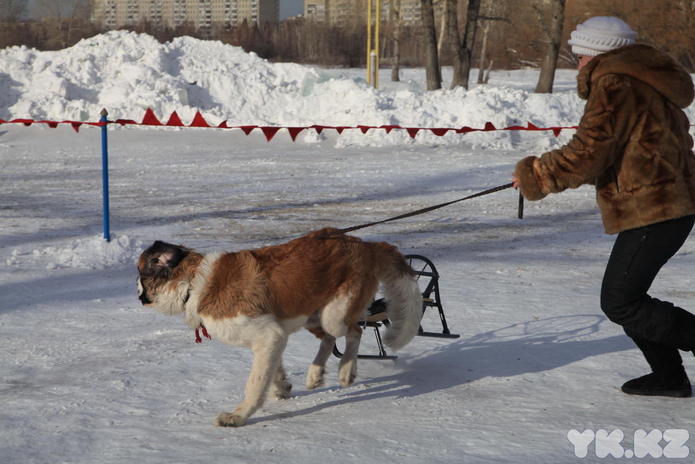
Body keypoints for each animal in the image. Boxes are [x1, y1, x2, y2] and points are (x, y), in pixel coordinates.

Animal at [135, 227, 418, 426]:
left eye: (139, 274)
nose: (136, 290)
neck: (194, 283)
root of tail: (364, 244)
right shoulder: (274, 336)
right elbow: (271, 369)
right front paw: (281, 386)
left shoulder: (269, 335)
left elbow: (255, 382)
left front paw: (238, 417)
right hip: (311, 314)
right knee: (329, 339)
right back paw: (315, 374)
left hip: (334, 315)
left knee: (354, 331)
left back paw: (346, 371)